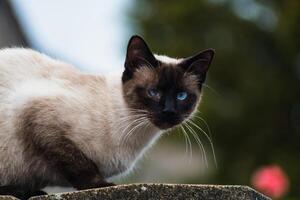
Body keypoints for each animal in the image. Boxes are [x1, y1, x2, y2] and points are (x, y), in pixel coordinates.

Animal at [0, 35, 216, 198]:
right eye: (153, 92)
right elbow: (80, 164)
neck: (136, 132)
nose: (169, 111)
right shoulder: (38, 115)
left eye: (182, 96)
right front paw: (100, 185)